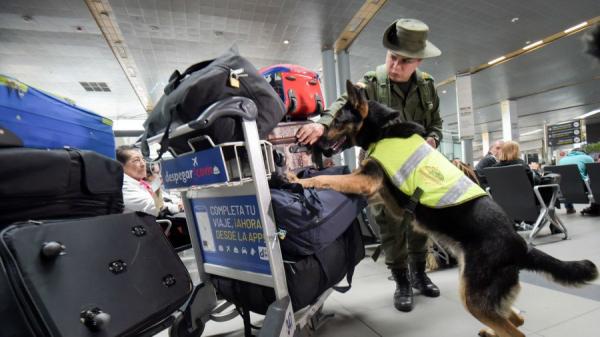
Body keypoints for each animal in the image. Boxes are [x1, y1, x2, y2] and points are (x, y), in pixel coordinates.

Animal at [288, 80, 596, 336]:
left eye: (337, 121)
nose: (314, 144)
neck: (384, 130)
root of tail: (521, 245)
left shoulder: (365, 182)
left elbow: (329, 179)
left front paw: (298, 179)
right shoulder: (381, 195)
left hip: (472, 297)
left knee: (515, 330)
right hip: (480, 294)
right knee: (515, 318)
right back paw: (491, 331)